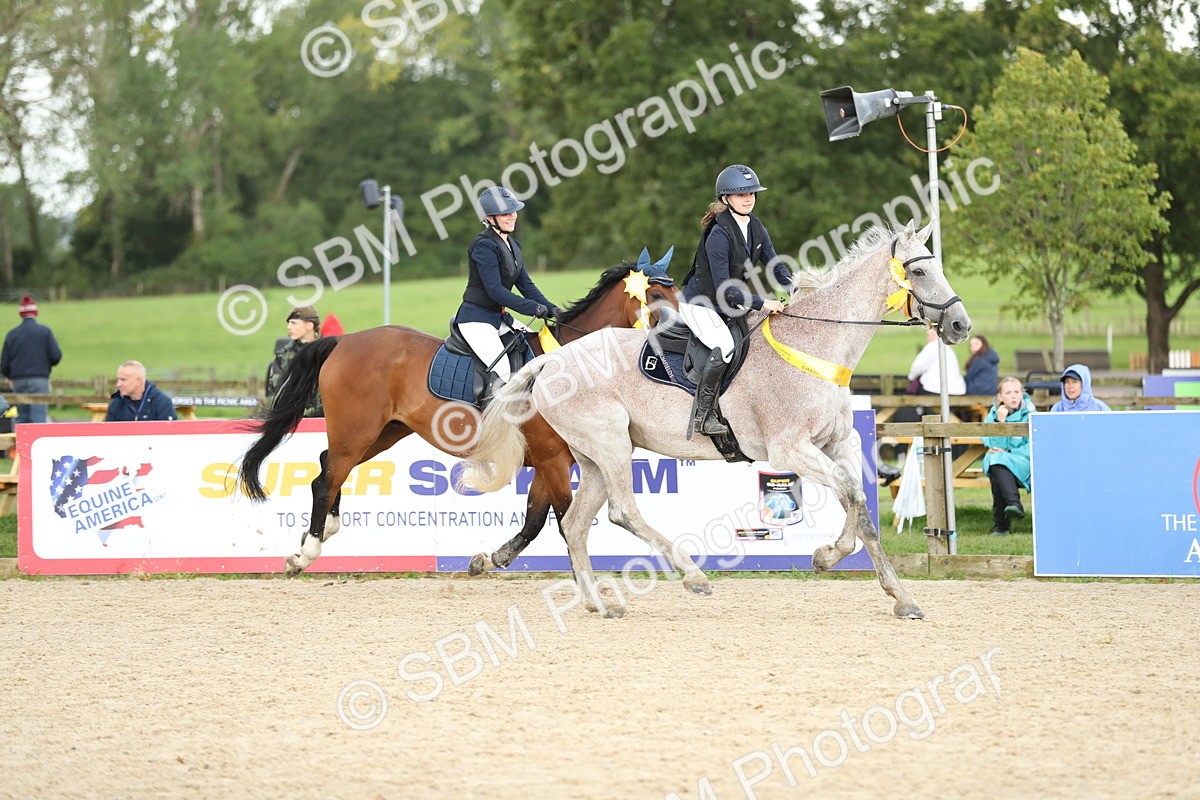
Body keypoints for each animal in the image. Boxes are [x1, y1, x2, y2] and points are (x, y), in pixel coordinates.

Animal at [238, 257, 679, 576]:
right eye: (656, 294)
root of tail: (344, 342)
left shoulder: (550, 461)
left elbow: (535, 520)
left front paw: (489, 560)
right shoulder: (553, 460)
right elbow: (564, 520)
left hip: (382, 433)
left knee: (328, 467)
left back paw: (319, 534)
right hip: (356, 430)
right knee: (327, 477)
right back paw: (306, 552)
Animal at [462, 222, 972, 619]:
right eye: (919, 271)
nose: (961, 326)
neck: (816, 348)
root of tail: (553, 359)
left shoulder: (836, 443)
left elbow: (858, 498)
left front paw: (839, 562)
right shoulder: (791, 450)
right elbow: (852, 496)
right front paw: (882, 586)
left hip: (592, 457)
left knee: (575, 524)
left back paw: (598, 603)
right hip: (610, 446)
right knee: (622, 512)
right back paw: (692, 575)